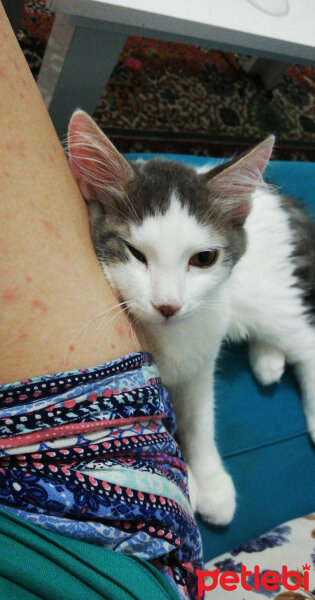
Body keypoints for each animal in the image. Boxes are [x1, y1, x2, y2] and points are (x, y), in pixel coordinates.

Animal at [67, 111, 315, 524]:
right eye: (135, 253)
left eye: (203, 259)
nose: (167, 305)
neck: (166, 338)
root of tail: (273, 198)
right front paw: (197, 484)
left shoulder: (202, 353)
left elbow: (200, 418)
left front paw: (211, 481)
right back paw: (268, 360)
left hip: (264, 299)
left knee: (306, 341)